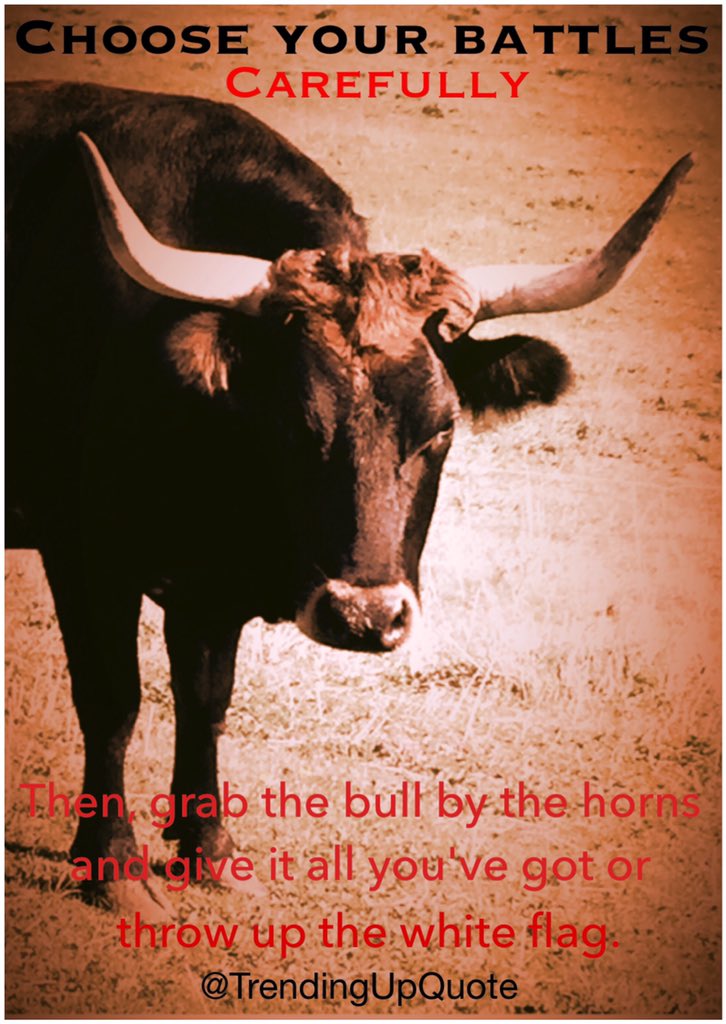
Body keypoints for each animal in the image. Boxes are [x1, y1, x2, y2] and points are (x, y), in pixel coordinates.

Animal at [6, 81, 691, 915]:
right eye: (291, 421)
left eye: (442, 427)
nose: (366, 617)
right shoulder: (84, 553)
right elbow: (113, 700)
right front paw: (112, 866)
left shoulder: (209, 587)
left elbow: (206, 698)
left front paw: (208, 850)